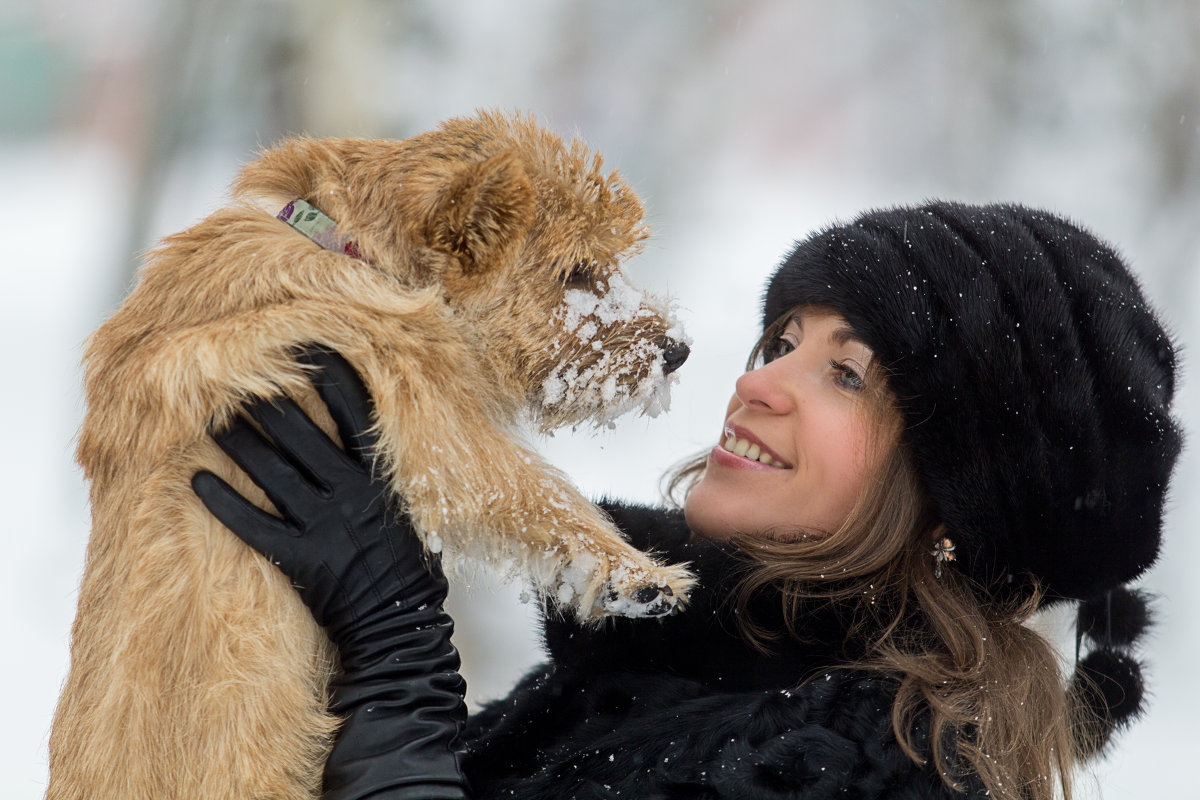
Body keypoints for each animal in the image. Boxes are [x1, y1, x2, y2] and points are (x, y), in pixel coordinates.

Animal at [49, 112, 696, 800]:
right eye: (575, 271)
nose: (678, 350)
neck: (345, 247)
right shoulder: (437, 425)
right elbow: (534, 495)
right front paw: (636, 576)